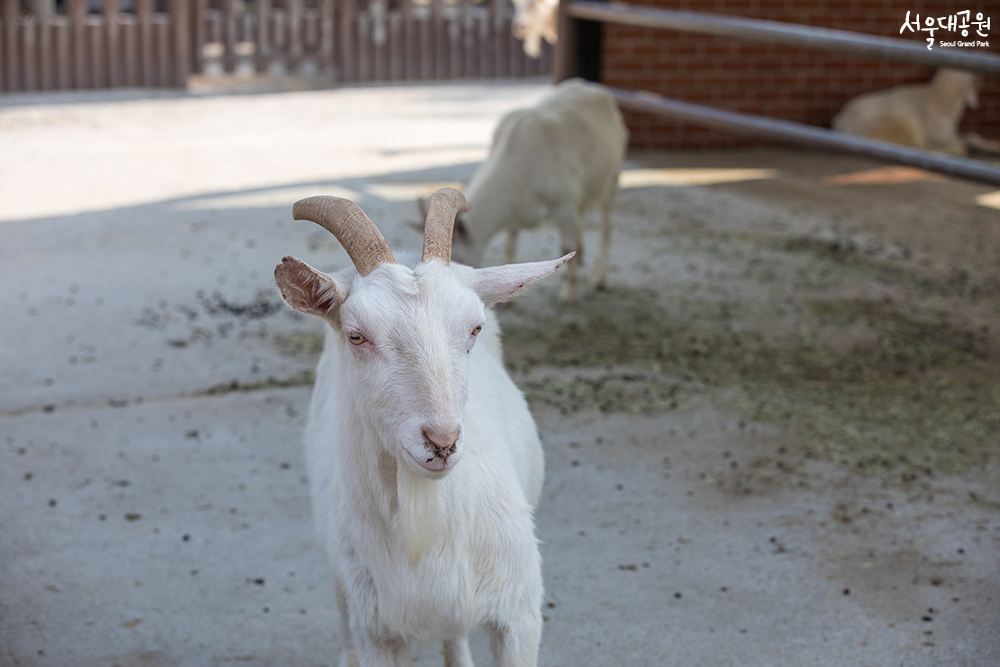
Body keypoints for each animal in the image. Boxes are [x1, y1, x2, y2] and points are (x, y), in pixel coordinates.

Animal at [448, 79, 624, 306]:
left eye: (458, 260)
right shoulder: (515, 208)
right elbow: (509, 245)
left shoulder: (564, 205)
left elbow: (565, 245)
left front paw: (571, 294)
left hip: (612, 178)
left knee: (606, 227)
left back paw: (601, 280)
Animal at [832, 68, 988, 156]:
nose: (978, 78)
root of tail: (840, 123)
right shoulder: (937, 135)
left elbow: (974, 137)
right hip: (903, 123)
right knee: (920, 148)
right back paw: (957, 150)